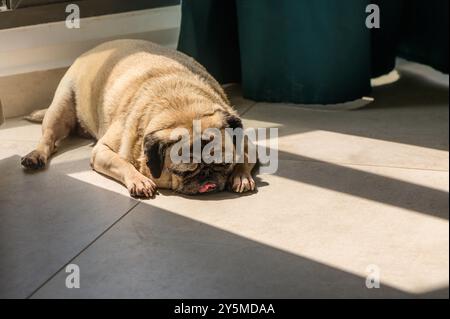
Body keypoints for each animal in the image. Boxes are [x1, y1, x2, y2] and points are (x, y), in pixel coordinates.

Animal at [21, 39, 256, 198]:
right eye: (183, 172)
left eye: (223, 164)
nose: (208, 177)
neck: (181, 106)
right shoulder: (102, 151)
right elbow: (123, 164)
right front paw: (139, 180)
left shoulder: (246, 140)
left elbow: (244, 156)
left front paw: (241, 176)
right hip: (61, 106)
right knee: (48, 138)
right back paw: (35, 156)